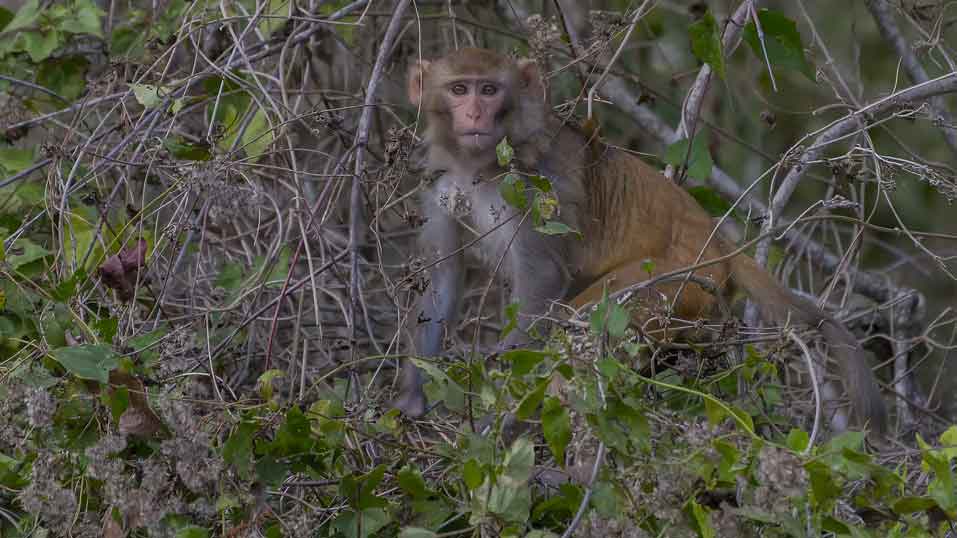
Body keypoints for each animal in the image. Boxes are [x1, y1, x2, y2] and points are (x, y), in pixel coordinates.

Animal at [392, 47, 884, 436]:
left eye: (490, 90)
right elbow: (442, 279)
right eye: (459, 89)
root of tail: (718, 241)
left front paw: (502, 399)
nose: (475, 113)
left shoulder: (533, 187)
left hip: (674, 282)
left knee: (585, 321)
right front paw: (411, 401)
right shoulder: (439, 185)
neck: (478, 166)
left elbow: (543, 279)